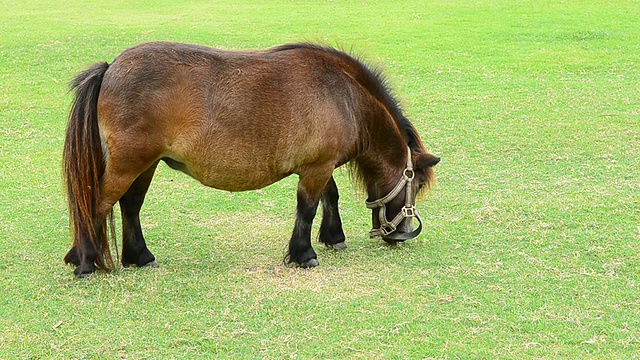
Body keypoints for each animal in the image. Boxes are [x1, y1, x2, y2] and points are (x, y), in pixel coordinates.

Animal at [61, 42, 440, 278]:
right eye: (418, 183)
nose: (401, 236)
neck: (344, 95)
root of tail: (111, 68)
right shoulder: (316, 168)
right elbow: (308, 207)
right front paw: (304, 254)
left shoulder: (320, 164)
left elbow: (328, 198)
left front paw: (333, 238)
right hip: (129, 163)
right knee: (97, 204)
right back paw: (86, 263)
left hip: (145, 165)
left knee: (130, 207)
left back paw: (139, 257)